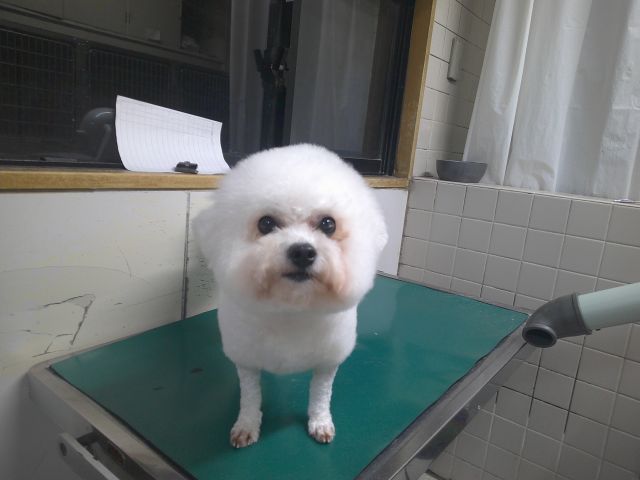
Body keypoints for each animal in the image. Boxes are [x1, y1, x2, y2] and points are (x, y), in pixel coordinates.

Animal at [195, 144, 388, 447]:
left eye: (328, 224)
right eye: (266, 223)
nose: (303, 252)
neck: (292, 309)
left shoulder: (327, 361)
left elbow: (320, 396)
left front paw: (320, 423)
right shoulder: (247, 359)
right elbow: (250, 398)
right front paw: (246, 425)